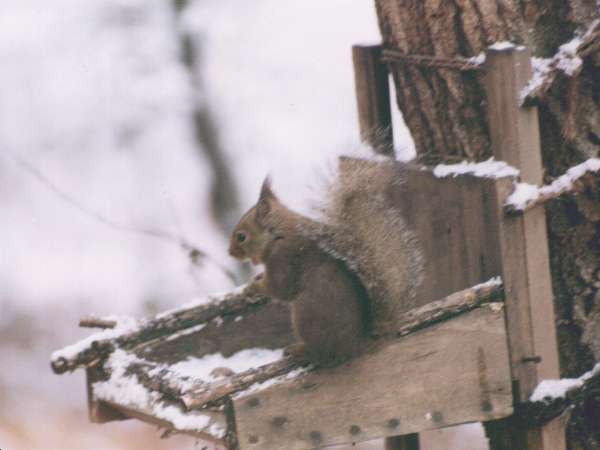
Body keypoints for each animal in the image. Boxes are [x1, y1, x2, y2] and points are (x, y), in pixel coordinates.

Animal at [227, 155, 424, 366]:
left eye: (241, 237)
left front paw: (252, 288)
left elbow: (280, 288)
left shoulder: (284, 259)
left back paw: (301, 351)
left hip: (306, 313)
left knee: (322, 354)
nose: (230, 253)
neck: (277, 235)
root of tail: (357, 343)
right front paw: (255, 280)